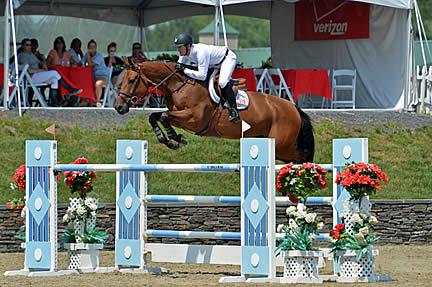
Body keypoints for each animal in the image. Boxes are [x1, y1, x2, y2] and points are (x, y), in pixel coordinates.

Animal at [114, 60, 314, 164]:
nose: (118, 107)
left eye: (131, 80)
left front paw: (175, 139)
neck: (178, 84)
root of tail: (294, 108)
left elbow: (162, 116)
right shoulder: (180, 116)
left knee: (301, 157)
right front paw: (171, 139)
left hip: (281, 145)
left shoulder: (194, 119)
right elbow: (155, 116)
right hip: (272, 144)